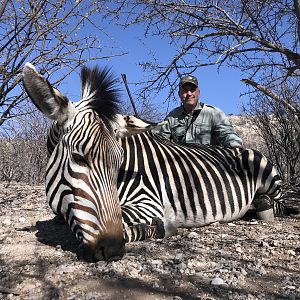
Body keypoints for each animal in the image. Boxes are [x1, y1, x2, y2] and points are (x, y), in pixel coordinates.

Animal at [23, 63, 284, 262]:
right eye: (78, 158)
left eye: (119, 163)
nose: (112, 249)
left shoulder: (149, 202)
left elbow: (126, 219)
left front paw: (160, 227)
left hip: (270, 179)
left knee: (277, 203)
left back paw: (261, 205)